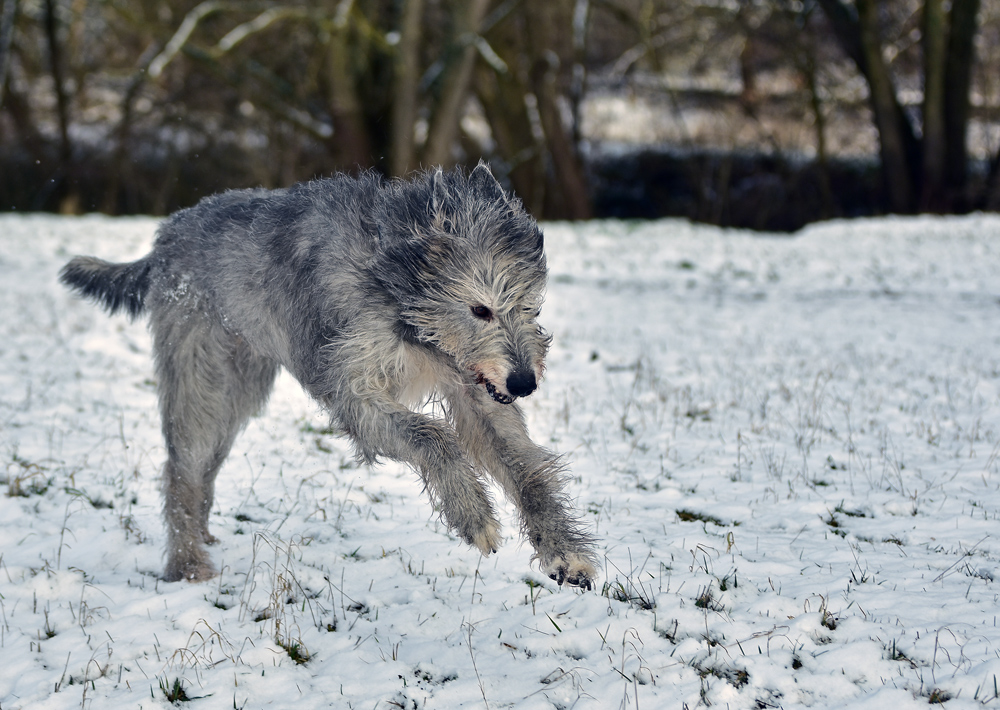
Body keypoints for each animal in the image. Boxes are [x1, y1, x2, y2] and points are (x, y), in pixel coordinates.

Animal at [60, 163, 592, 588]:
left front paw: (563, 550)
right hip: (202, 377)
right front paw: (474, 514)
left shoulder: (472, 384)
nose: (524, 384)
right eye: (480, 309)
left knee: (206, 464)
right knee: (181, 467)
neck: (395, 277)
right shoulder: (351, 384)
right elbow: (432, 436)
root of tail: (166, 236)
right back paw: (188, 564)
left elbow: (522, 467)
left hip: (241, 383)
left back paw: (202, 536)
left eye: (530, 305)